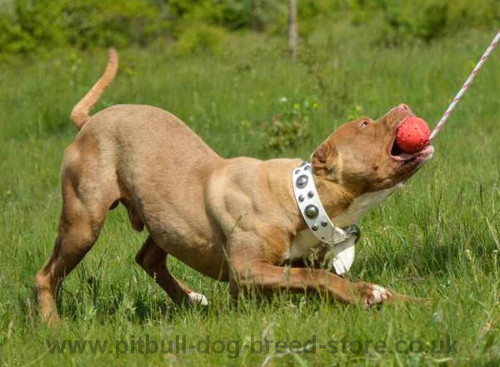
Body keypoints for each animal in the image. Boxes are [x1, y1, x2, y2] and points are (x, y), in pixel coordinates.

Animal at [35, 49, 434, 324]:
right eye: (365, 124)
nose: (404, 104)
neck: (303, 197)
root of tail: (89, 122)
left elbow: (328, 279)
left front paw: (413, 303)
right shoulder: (247, 270)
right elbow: (314, 276)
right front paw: (359, 294)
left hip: (165, 220)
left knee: (148, 257)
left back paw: (191, 301)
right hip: (83, 222)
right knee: (47, 275)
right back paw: (53, 325)